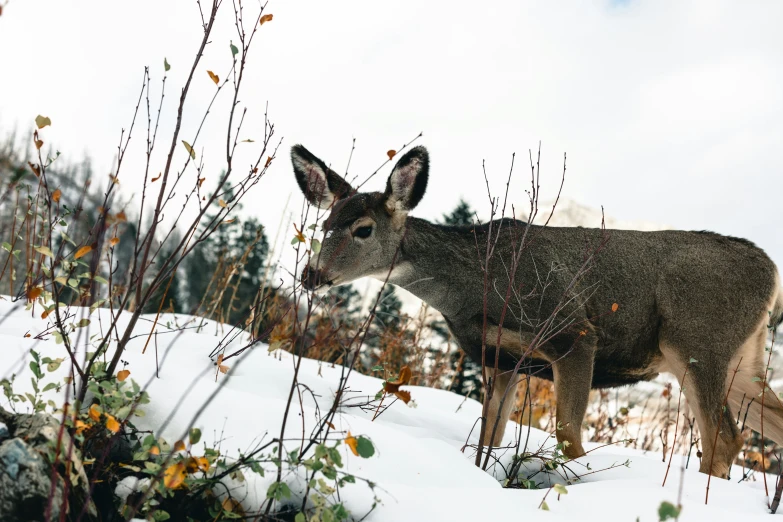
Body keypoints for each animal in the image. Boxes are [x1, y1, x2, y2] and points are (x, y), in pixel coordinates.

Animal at [290, 142, 783, 476]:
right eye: (324, 223)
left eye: (363, 229)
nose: (310, 275)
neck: (473, 289)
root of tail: (771, 271)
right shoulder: (500, 357)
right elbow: (490, 435)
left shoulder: (574, 333)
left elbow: (569, 438)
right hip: (742, 363)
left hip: (697, 340)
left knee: (724, 438)